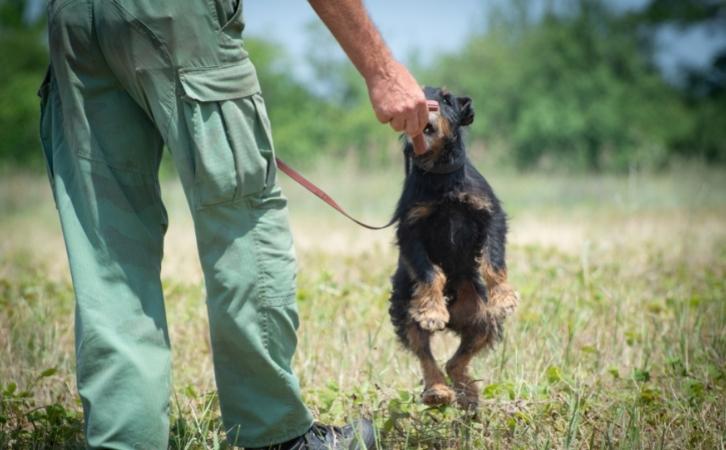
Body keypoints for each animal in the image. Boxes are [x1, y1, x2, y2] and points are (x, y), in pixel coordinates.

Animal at [390, 86, 520, 410]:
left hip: (483, 321)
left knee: (456, 361)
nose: (426, 107)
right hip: (404, 310)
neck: (441, 175)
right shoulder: (410, 229)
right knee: (427, 357)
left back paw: (468, 394)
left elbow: (493, 261)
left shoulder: (490, 215)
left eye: (447, 99)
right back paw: (438, 391)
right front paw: (432, 310)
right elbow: (429, 272)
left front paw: (504, 297)